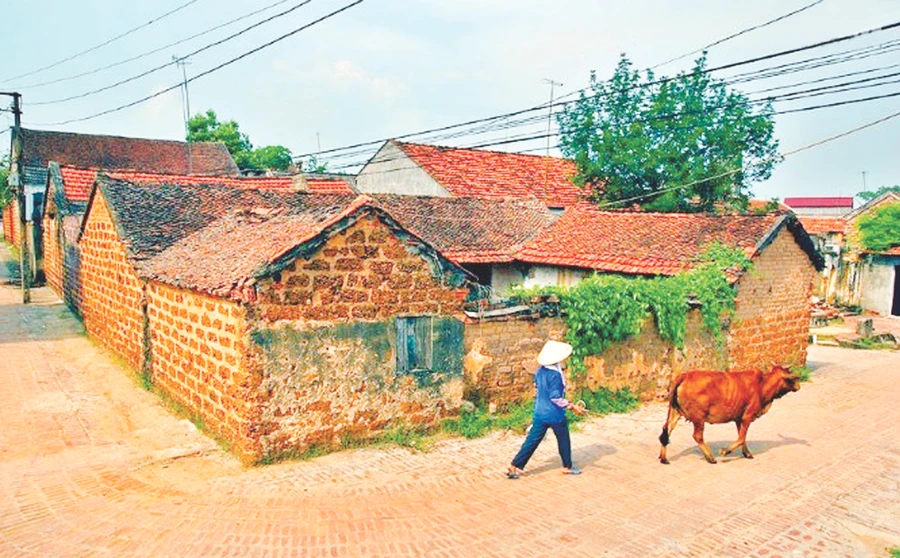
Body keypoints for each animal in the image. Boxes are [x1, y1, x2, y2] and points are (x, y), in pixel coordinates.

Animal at [652, 366, 800, 466]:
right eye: (791, 379)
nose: (798, 385)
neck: (762, 385)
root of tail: (685, 375)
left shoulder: (739, 418)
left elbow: (742, 437)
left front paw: (747, 453)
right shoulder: (747, 416)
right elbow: (741, 438)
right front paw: (725, 451)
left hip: (675, 412)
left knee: (666, 431)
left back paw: (663, 458)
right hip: (699, 418)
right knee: (697, 436)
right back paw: (710, 457)